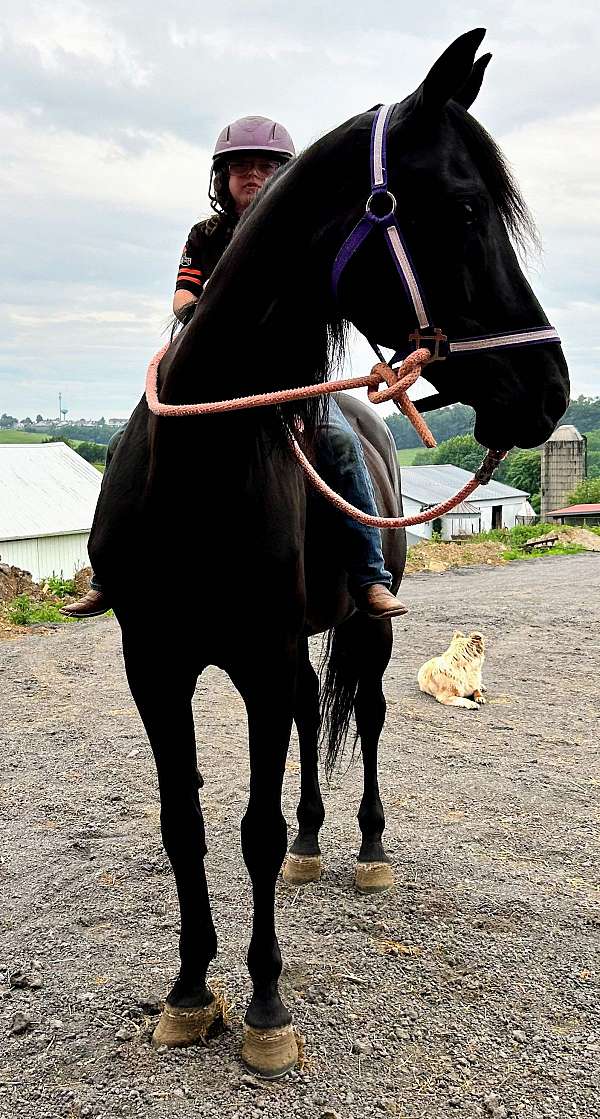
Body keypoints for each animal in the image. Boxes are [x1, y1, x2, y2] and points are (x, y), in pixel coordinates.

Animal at [88, 28, 569, 1077]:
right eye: (463, 206)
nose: (551, 387)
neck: (195, 475)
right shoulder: (158, 665)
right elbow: (186, 824)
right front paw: (190, 989)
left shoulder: (259, 657)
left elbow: (254, 831)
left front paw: (266, 1004)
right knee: (317, 717)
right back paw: (319, 841)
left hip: (362, 630)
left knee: (370, 716)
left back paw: (365, 850)